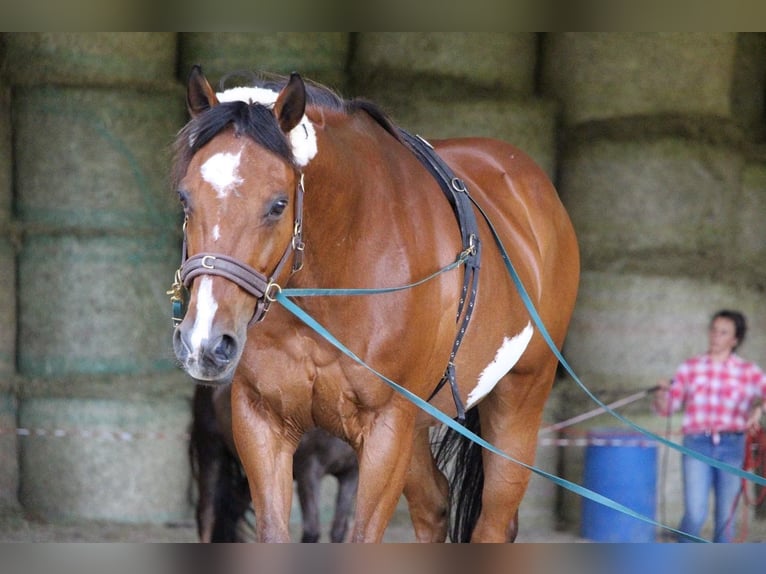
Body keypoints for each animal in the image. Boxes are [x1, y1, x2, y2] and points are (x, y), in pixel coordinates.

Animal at [189, 384, 358, 542]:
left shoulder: (350, 475)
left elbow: (338, 531)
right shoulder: (308, 470)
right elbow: (312, 531)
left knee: (235, 508)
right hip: (211, 450)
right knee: (206, 514)